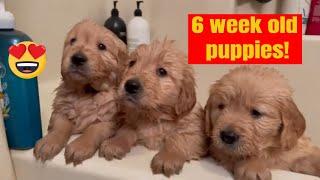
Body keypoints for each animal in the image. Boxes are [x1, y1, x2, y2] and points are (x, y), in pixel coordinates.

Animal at [33, 20, 126, 166]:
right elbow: (59, 127)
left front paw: (79, 146)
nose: (77, 58)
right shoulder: (62, 110)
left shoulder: (107, 119)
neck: (85, 92)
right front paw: (48, 142)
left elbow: (93, 131)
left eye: (101, 46)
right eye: (73, 41)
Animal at [99, 39, 206, 177]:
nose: (130, 85)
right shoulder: (130, 121)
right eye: (132, 63)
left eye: (162, 71)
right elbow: (125, 131)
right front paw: (115, 143)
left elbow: (178, 139)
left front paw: (167, 158)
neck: (154, 115)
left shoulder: (195, 134)